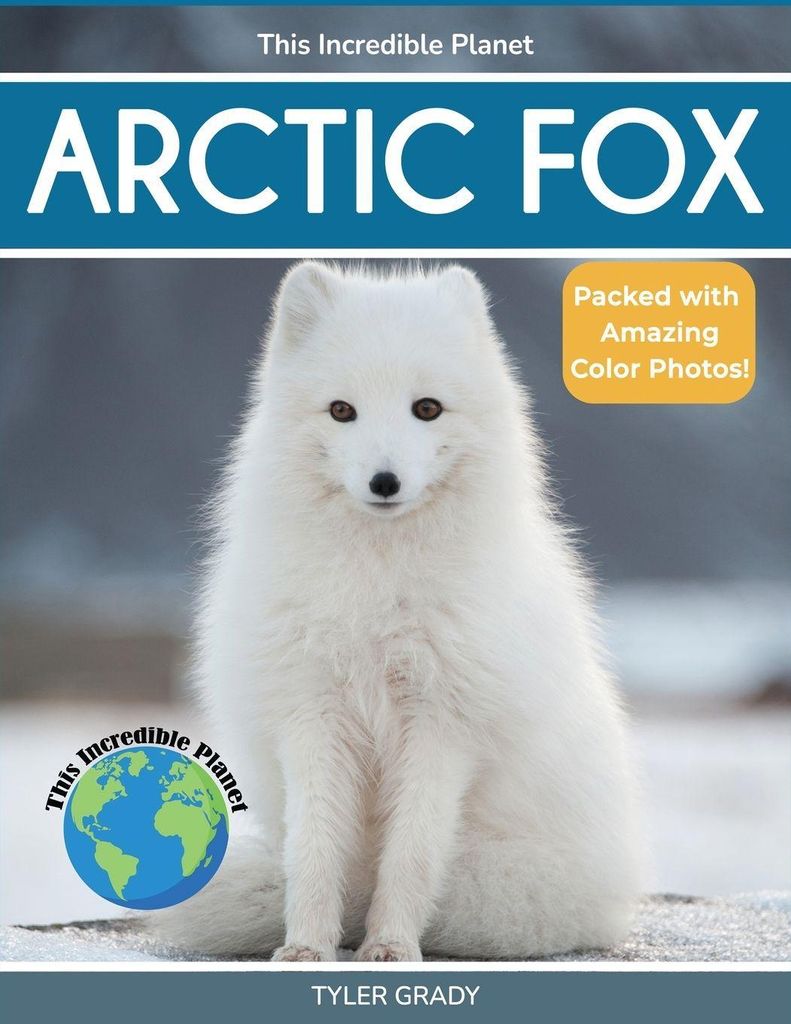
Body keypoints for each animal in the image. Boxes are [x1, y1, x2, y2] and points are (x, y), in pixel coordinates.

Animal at [153, 262, 642, 961]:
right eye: (342, 410)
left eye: (427, 408)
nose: (384, 482)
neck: (377, 592)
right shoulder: (312, 714)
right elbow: (313, 849)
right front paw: (306, 946)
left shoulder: (443, 725)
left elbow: (410, 854)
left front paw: (388, 945)